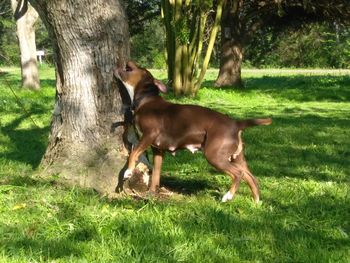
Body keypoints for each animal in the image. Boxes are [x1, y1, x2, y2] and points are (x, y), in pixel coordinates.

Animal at [115, 62, 270, 204]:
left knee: (238, 174)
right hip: (237, 158)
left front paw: (128, 171)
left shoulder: (149, 135)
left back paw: (228, 196)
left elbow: (133, 153)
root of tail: (236, 124)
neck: (146, 100)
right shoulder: (158, 150)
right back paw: (257, 202)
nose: (127, 61)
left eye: (140, 67)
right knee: (251, 177)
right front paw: (152, 193)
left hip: (215, 156)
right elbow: (156, 175)